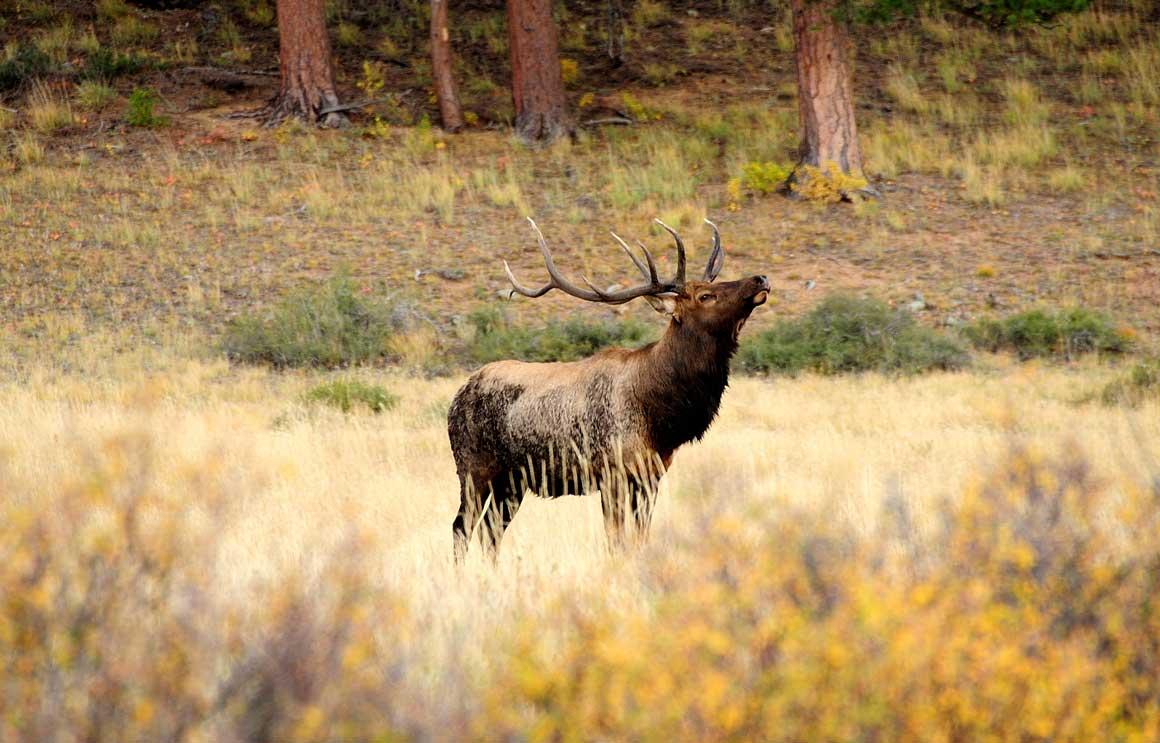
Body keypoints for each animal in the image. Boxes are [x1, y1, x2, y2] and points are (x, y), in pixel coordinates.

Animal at [445, 217, 770, 558]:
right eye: (705, 296)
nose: (760, 278)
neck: (661, 417)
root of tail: (456, 398)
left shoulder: (651, 475)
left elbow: (640, 537)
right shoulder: (611, 472)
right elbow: (615, 540)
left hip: (512, 481)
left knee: (491, 531)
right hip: (473, 467)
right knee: (461, 527)